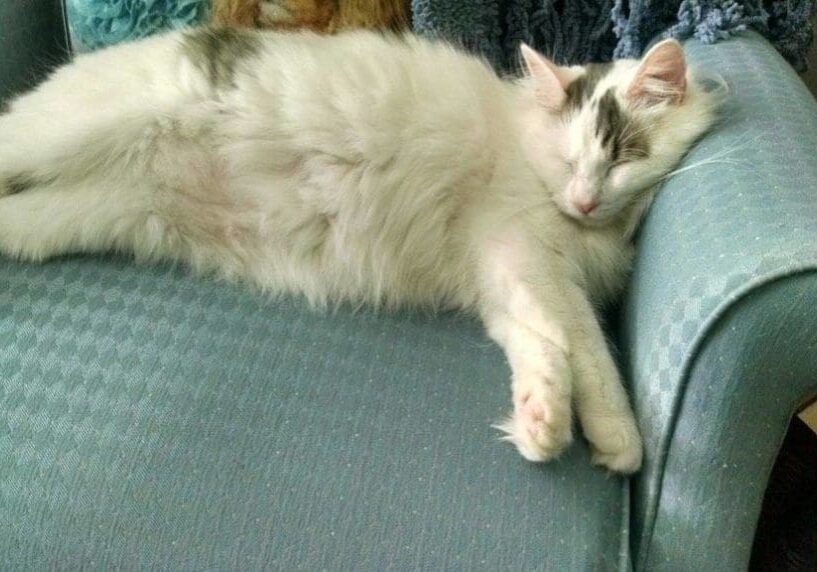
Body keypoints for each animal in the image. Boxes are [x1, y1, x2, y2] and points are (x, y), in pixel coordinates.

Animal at [0, 26, 716, 472]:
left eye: (620, 160)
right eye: (571, 161)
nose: (586, 200)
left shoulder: (500, 273)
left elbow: (540, 349)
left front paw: (539, 422)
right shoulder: (527, 256)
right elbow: (585, 347)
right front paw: (618, 439)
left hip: (81, 212)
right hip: (58, 140)